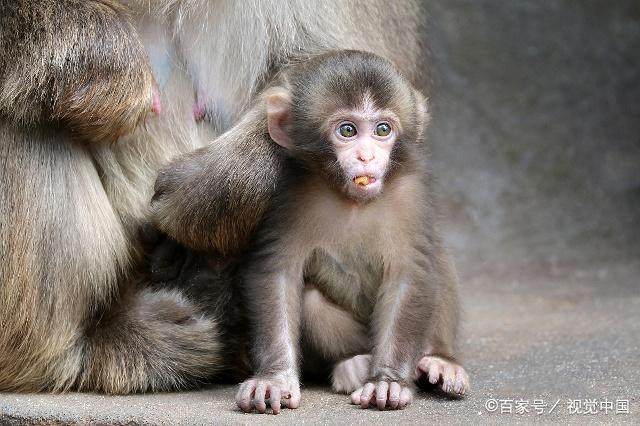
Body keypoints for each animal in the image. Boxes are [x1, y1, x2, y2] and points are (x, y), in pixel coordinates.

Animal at [238, 50, 468, 412]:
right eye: (347, 130)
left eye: (383, 129)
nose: (366, 156)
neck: (353, 201)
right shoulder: (290, 193)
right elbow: (277, 272)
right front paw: (274, 378)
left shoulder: (410, 193)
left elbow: (410, 273)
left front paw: (387, 382)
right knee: (313, 300)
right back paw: (353, 363)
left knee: (439, 259)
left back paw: (439, 360)